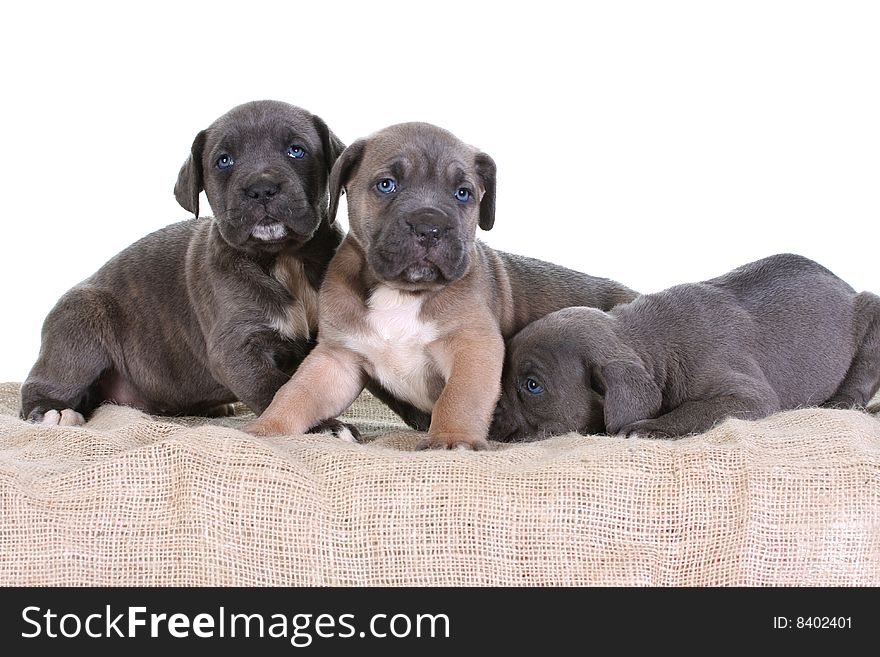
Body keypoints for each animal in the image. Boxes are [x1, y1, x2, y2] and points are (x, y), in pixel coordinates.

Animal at [19, 98, 344, 426]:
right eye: (224, 161)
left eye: (296, 150)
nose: (261, 189)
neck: (284, 258)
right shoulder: (237, 348)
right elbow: (278, 389)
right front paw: (327, 427)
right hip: (80, 324)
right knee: (41, 384)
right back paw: (53, 412)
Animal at [244, 120, 636, 448]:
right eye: (386, 185)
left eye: (463, 193)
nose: (429, 226)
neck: (402, 292)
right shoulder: (337, 359)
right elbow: (297, 393)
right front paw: (267, 429)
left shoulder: (472, 346)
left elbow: (459, 397)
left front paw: (451, 438)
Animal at [492, 252, 880, 440]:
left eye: (532, 386)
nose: (488, 409)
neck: (649, 344)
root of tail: (846, 287)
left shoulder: (746, 396)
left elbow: (693, 411)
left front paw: (650, 428)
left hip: (871, 313)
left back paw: (841, 401)